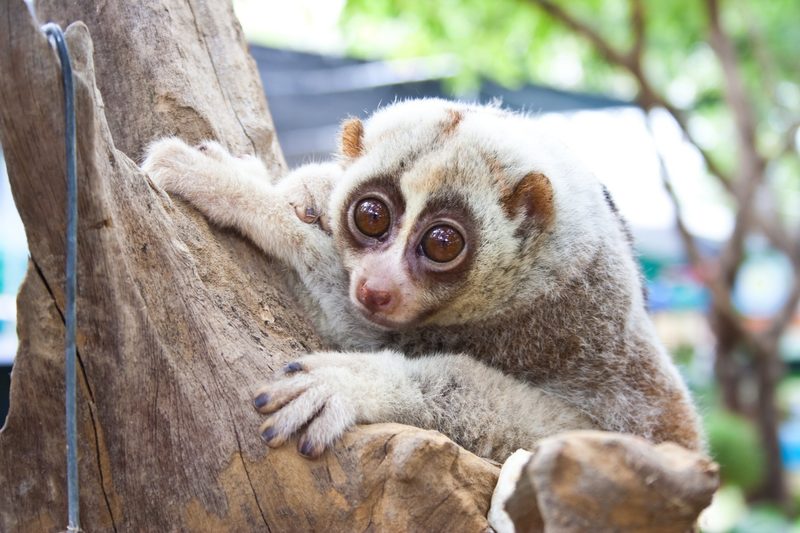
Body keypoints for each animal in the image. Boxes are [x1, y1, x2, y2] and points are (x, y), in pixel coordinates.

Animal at [142, 98, 702, 461]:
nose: (376, 289)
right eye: (370, 216)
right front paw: (299, 187)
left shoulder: (550, 324)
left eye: (442, 244)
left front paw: (226, 187)